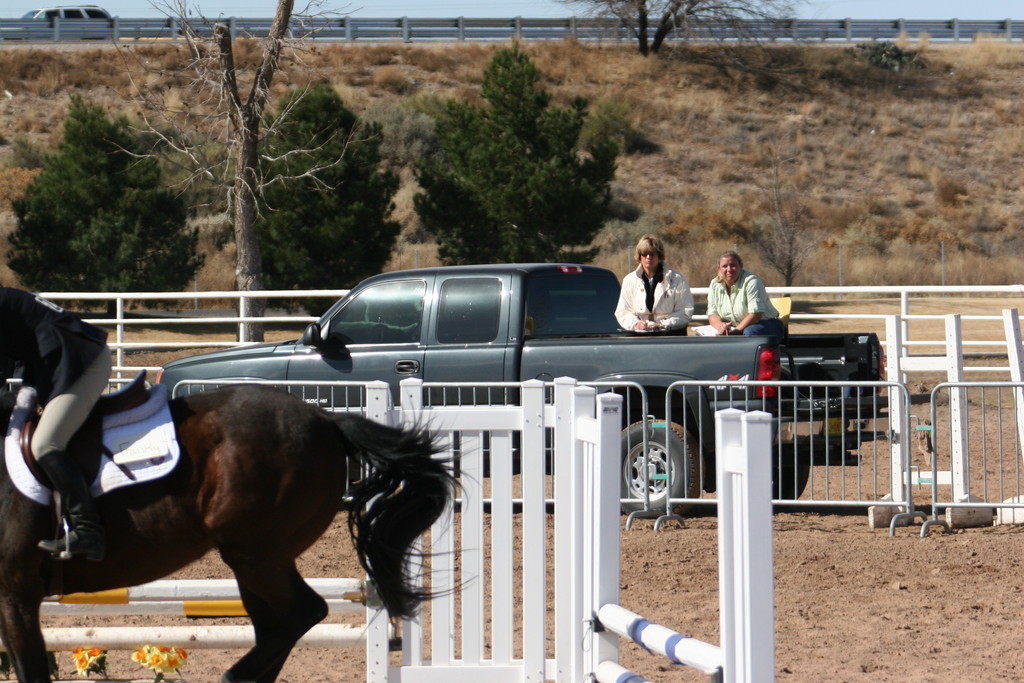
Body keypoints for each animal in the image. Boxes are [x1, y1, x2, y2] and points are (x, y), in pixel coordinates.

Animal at [0, 385, 452, 683]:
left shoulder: (16, 594)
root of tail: (326, 418)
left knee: (302, 613)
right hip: (256, 560)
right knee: (279, 625)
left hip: (255, 554)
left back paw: (236, 677)